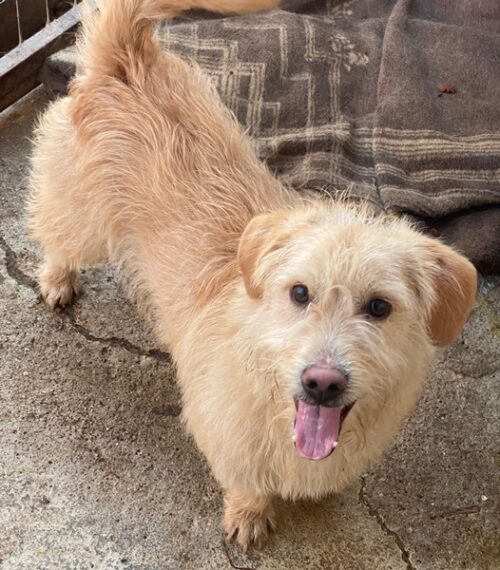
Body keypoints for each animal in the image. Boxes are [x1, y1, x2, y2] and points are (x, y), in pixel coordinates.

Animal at [27, 0, 477, 551]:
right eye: (300, 293)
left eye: (379, 307)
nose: (322, 383)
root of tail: (126, 61)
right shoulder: (226, 437)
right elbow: (247, 482)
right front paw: (248, 513)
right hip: (81, 220)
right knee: (56, 236)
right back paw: (57, 279)